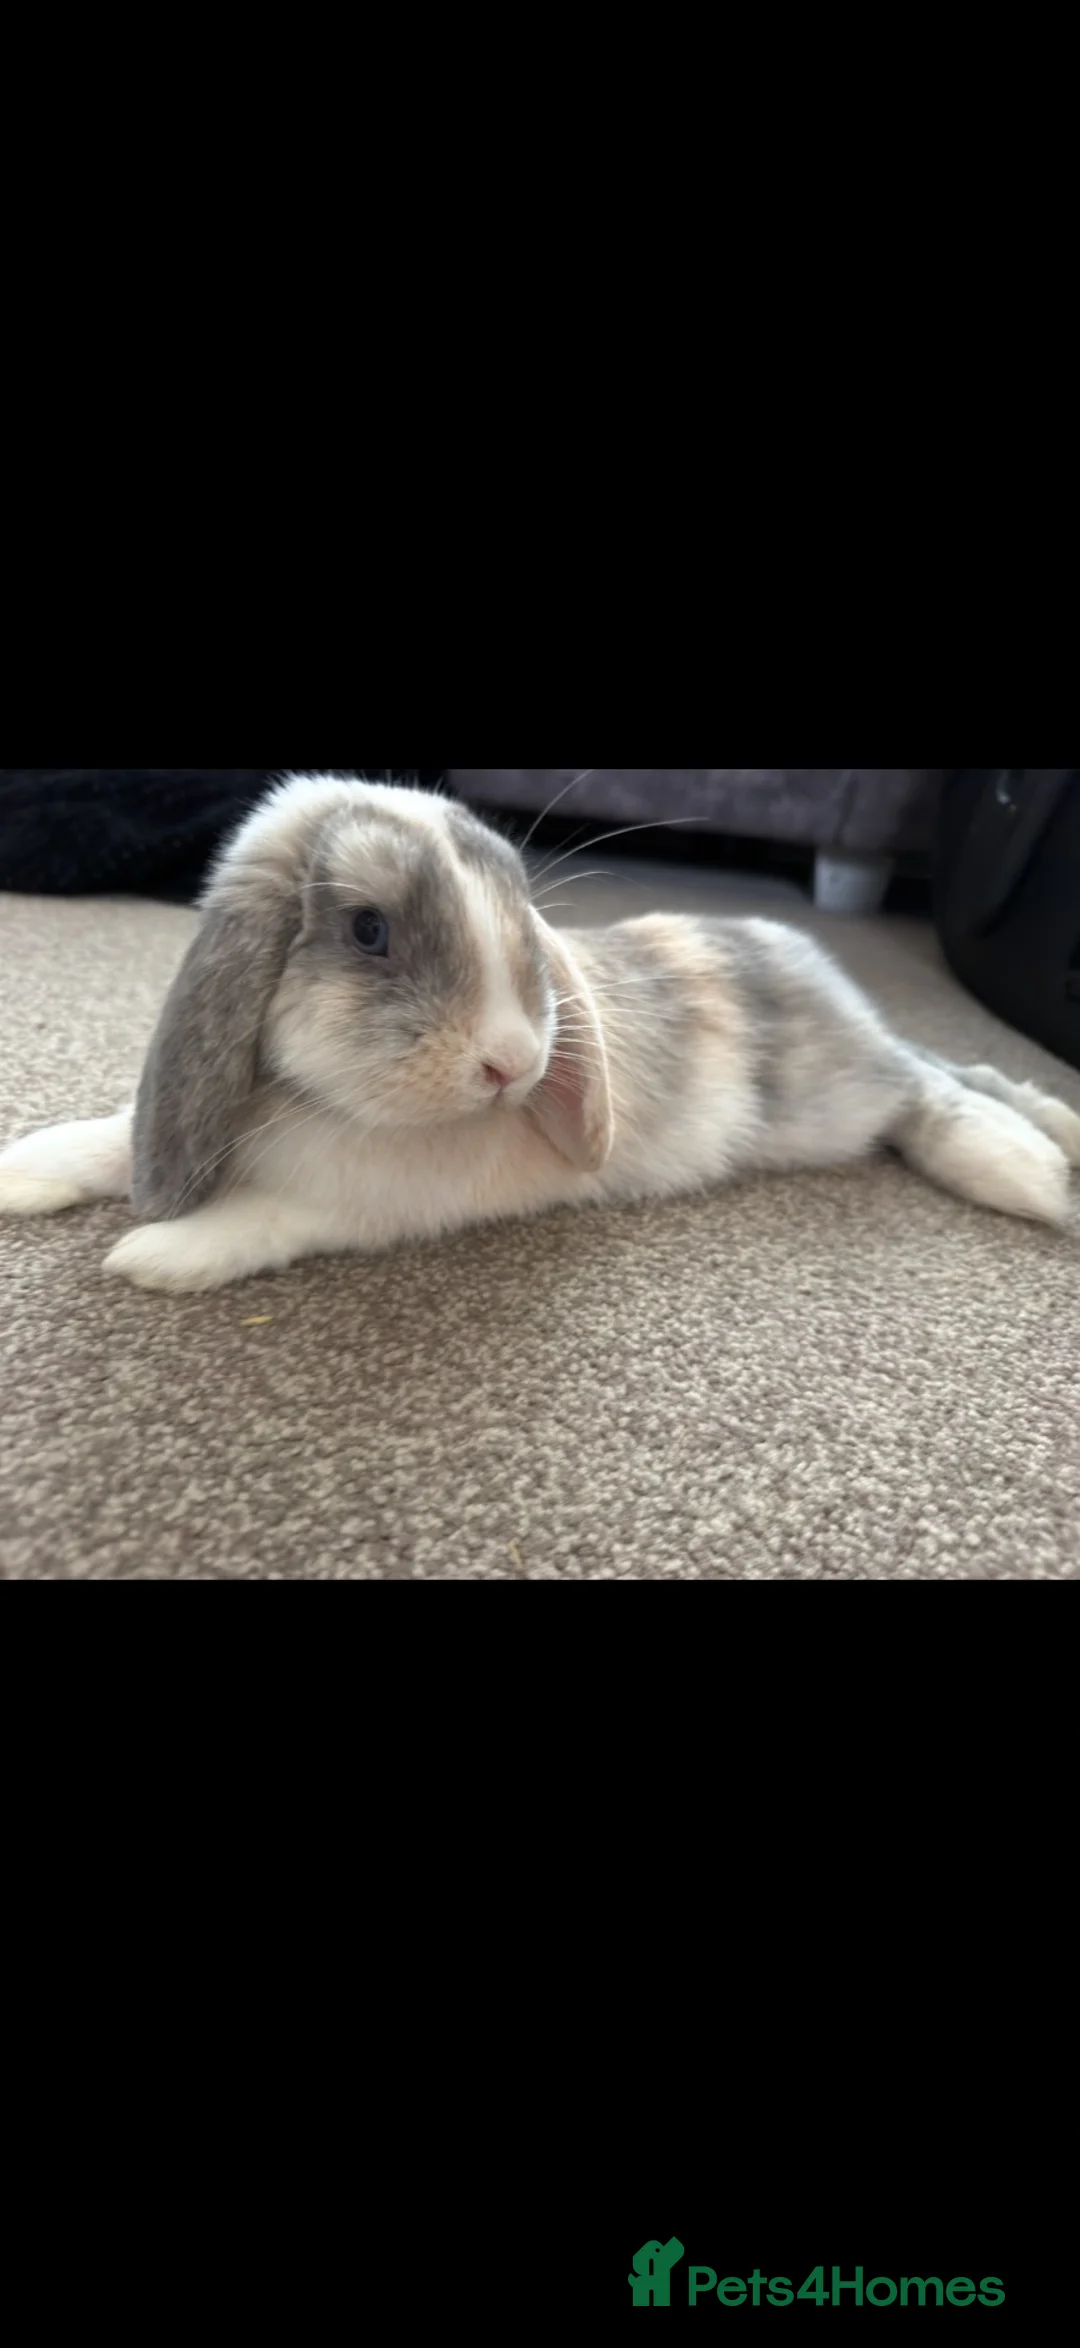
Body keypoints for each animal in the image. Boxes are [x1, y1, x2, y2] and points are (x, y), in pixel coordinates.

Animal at [1, 774, 1078, 1293]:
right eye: (369, 931)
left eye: (523, 921)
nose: (513, 1064)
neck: (314, 1102)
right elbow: (109, 1138)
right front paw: (23, 1169)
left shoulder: (362, 1201)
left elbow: (268, 1216)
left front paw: (159, 1256)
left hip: (847, 1095)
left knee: (939, 1083)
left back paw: (1029, 1167)